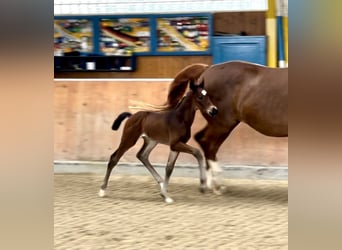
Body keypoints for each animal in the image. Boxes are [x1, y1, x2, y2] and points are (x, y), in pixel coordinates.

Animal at [99, 63, 216, 202]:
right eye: (200, 97)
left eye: (208, 95)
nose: (214, 110)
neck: (180, 119)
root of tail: (131, 116)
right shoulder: (175, 144)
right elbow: (197, 152)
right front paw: (202, 185)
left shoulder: (176, 146)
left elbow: (169, 167)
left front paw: (165, 195)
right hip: (129, 139)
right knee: (114, 158)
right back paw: (102, 190)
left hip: (151, 141)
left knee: (142, 156)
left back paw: (160, 183)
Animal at [164, 61, 288, 193]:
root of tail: (208, 69)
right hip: (222, 124)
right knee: (206, 141)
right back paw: (217, 183)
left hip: (221, 125)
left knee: (206, 142)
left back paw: (211, 184)